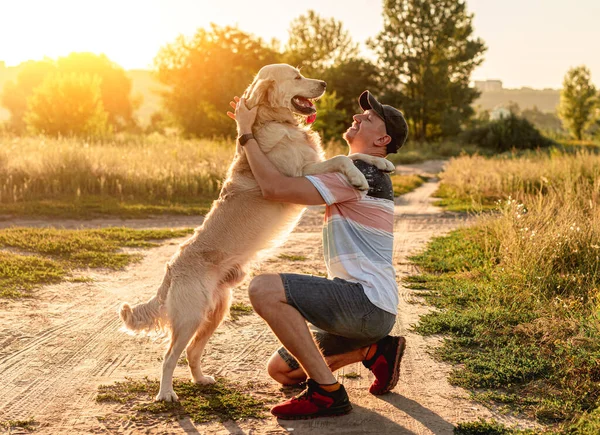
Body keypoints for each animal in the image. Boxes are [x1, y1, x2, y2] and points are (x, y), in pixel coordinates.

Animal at [119, 63, 396, 404]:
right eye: (296, 77)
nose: (324, 82)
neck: (273, 121)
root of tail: (172, 268)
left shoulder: (313, 165)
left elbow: (354, 155)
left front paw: (380, 161)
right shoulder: (298, 174)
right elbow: (342, 157)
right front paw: (358, 179)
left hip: (215, 311)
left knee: (193, 353)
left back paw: (201, 380)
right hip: (190, 316)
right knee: (170, 356)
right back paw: (166, 393)